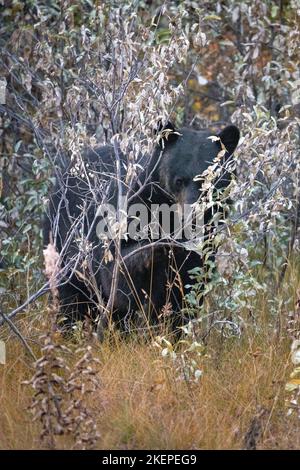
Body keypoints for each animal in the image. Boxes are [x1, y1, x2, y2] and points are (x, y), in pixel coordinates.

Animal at [44, 123, 239, 336]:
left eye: (210, 181)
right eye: (179, 180)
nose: (193, 215)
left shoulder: (203, 248)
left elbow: (186, 291)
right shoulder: (128, 211)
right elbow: (119, 274)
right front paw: (157, 247)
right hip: (63, 239)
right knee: (71, 296)